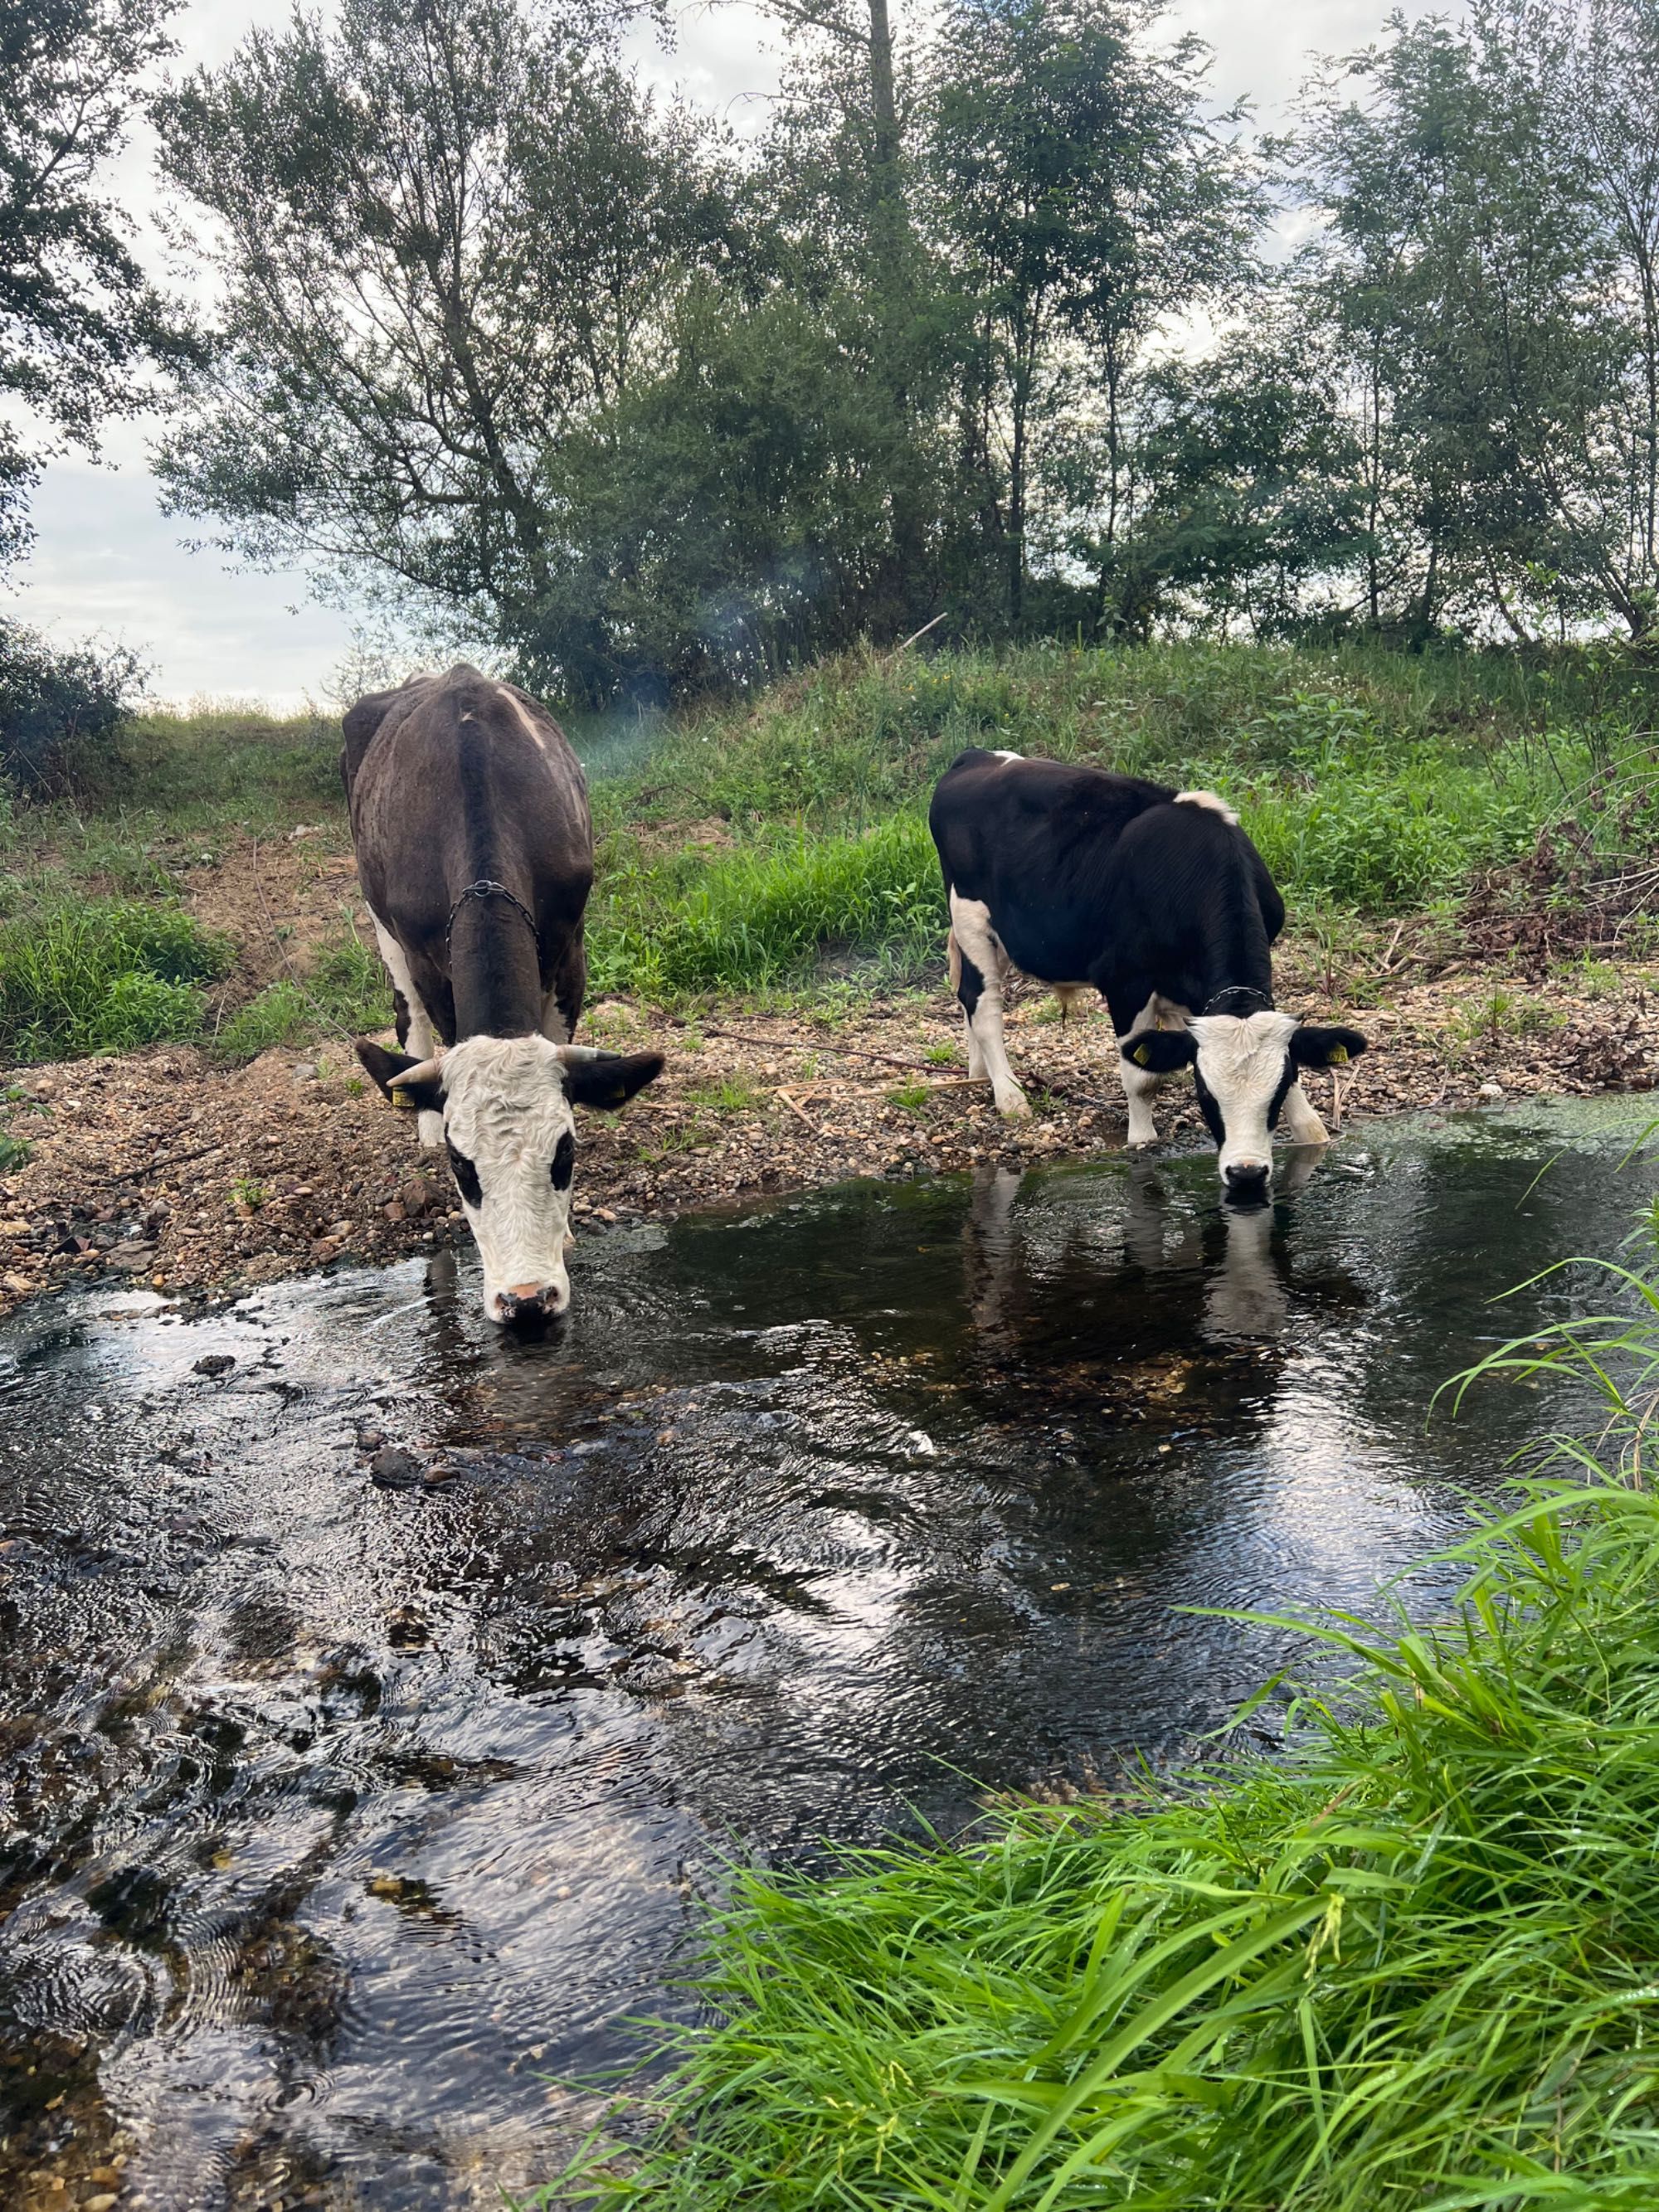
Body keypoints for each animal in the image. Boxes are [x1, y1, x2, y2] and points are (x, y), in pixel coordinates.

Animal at [345, 654, 664, 1309]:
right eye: (460, 1165)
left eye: (565, 1152)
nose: (526, 1299)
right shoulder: (425, 954)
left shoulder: (571, 943)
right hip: (378, 918)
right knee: (406, 1013)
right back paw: (417, 1115)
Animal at [929, 747, 1371, 1194]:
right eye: (1205, 1094)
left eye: (1275, 1095)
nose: (1246, 1173)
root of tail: (977, 756)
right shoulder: (1125, 982)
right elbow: (1143, 1080)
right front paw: (1141, 1140)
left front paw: (1309, 1129)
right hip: (970, 917)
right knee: (982, 1002)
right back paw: (1010, 1097)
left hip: (1005, 935)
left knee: (967, 997)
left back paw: (977, 1073)